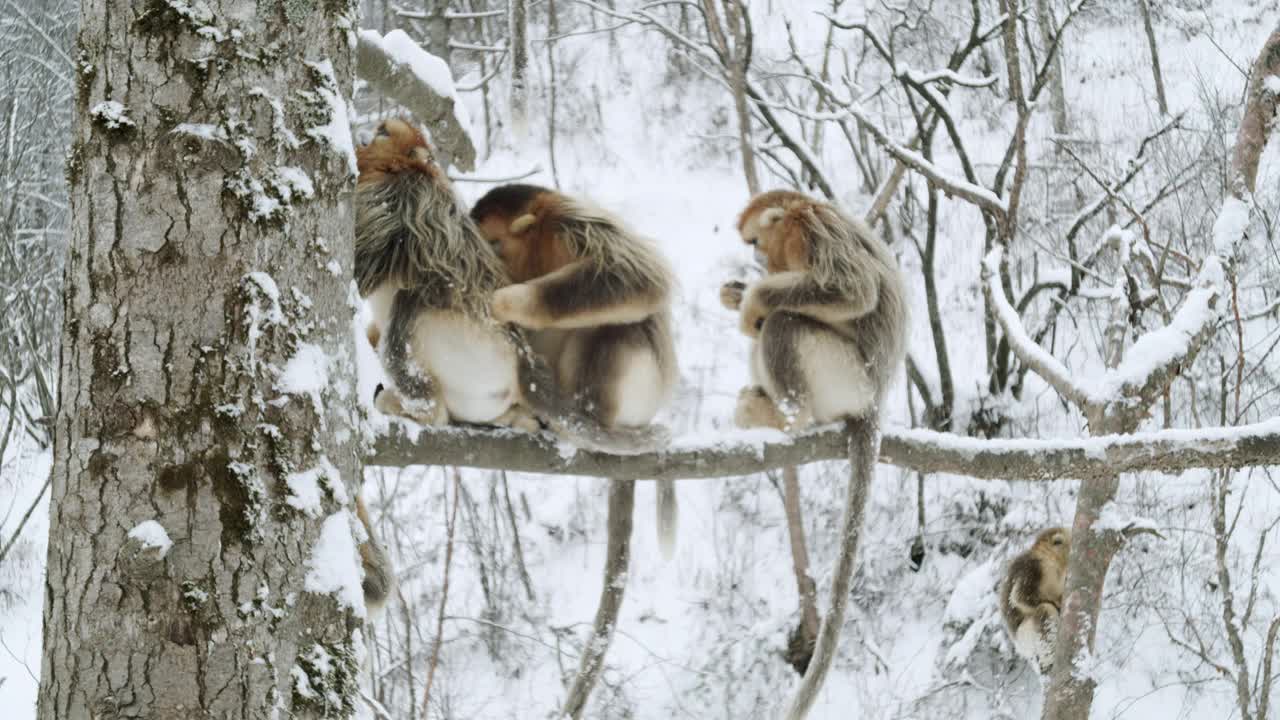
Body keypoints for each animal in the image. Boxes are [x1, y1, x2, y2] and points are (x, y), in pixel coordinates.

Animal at [471, 183, 686, 556]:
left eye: (493, 243)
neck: (540, 248)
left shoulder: (571, 221)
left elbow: (637, 277)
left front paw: (505, 301)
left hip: (637, 392)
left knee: (612, 328)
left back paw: (583, 424)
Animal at [721, 188, 911, 427]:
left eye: (755, 241)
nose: (756, 257)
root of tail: (873, 406)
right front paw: (735, 293)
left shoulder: (810, 231)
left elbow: (854, 291)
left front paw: (751, 302)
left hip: (849, 384)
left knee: (782, 322)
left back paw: (786, 418)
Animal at [998, 525, 1070, 671]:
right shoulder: (1031, 568)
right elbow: (1018, 597)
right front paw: (1057, 603)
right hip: (1026, 634)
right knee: (1044, 609)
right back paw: (1049, 659)